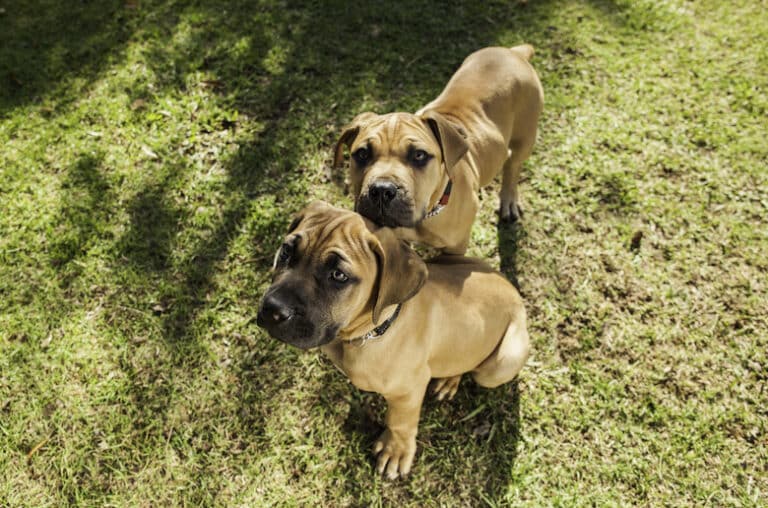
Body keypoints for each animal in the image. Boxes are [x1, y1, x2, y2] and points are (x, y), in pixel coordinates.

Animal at [256, 200, 528, 478]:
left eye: (338, 275)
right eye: (287, 250)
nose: (272, 309)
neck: (371, 332)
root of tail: (514, 291)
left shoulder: (410, 390)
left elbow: (400, 421)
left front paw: (396, 450)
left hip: (502, 364)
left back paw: (450, 379)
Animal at [332, 44, 544, 254]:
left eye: (419, 155)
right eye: (362, 154)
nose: (382, 190)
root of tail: (514, 53)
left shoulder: (456, 248)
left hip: (525, 138)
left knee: (513, 165)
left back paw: (509, 200)